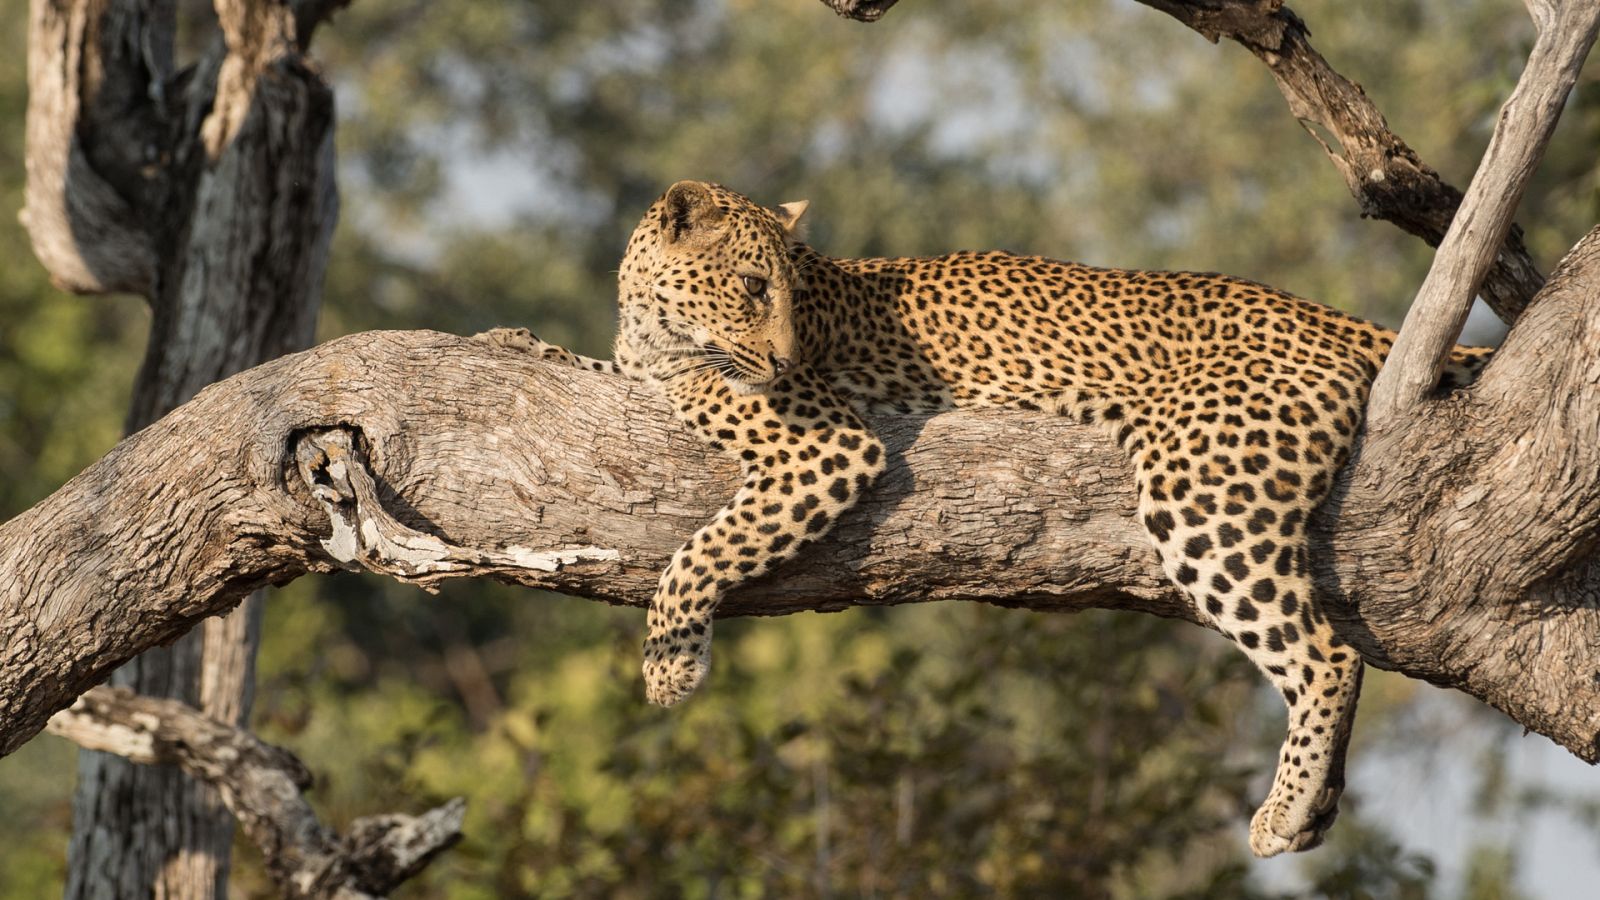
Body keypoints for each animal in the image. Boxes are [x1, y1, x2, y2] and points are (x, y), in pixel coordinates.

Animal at [505, 176, 1491, 851]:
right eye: (751, 285)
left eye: (785, 292)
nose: (785, 357)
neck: (652, 328)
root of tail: (1323, 315)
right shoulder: (637, 375)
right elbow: (576, 367)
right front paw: (512, 340)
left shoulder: (829, 447)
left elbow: (706, 547)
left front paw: (671, 664)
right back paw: (1315, 809)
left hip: (1199, 485)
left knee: (1324, 653)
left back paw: (1283, 811)